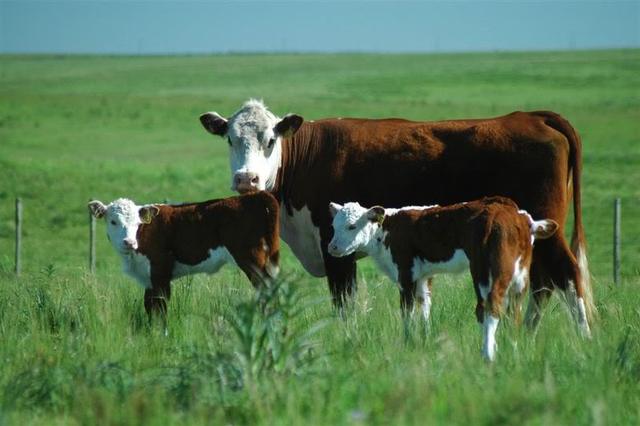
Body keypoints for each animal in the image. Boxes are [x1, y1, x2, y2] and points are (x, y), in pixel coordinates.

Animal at [87, 191, 280, 316]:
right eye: (113, 221)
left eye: (137, 222)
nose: (129, 242)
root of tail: (256, 196)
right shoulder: (148, 279)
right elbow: (149, 306)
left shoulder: (160, 272)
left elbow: (160, 308)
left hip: (252, 259)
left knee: (267, 289)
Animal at [199, 99, 593, 335]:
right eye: (230, 139)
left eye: (269, 140)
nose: (246, 179)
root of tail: (533, 116)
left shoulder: (335, 247)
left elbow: (344, 302)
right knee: (544, 282)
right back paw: (527, 333)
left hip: (546, 226)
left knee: (567, 274)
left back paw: (584, 338)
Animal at [327, 197, 559, 360]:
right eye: (334, 226)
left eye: (351, 226)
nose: (332, 247)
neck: (387, 230)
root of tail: (512, 214)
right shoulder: (423, 276)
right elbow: (425, 305)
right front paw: (425, 339)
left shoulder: (405, 272)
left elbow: (407, 310)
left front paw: (407, 342)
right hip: (519, 275)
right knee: (514, 311)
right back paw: (513, 349)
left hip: (485, 270)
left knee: (488, 306)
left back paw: (488, 354)